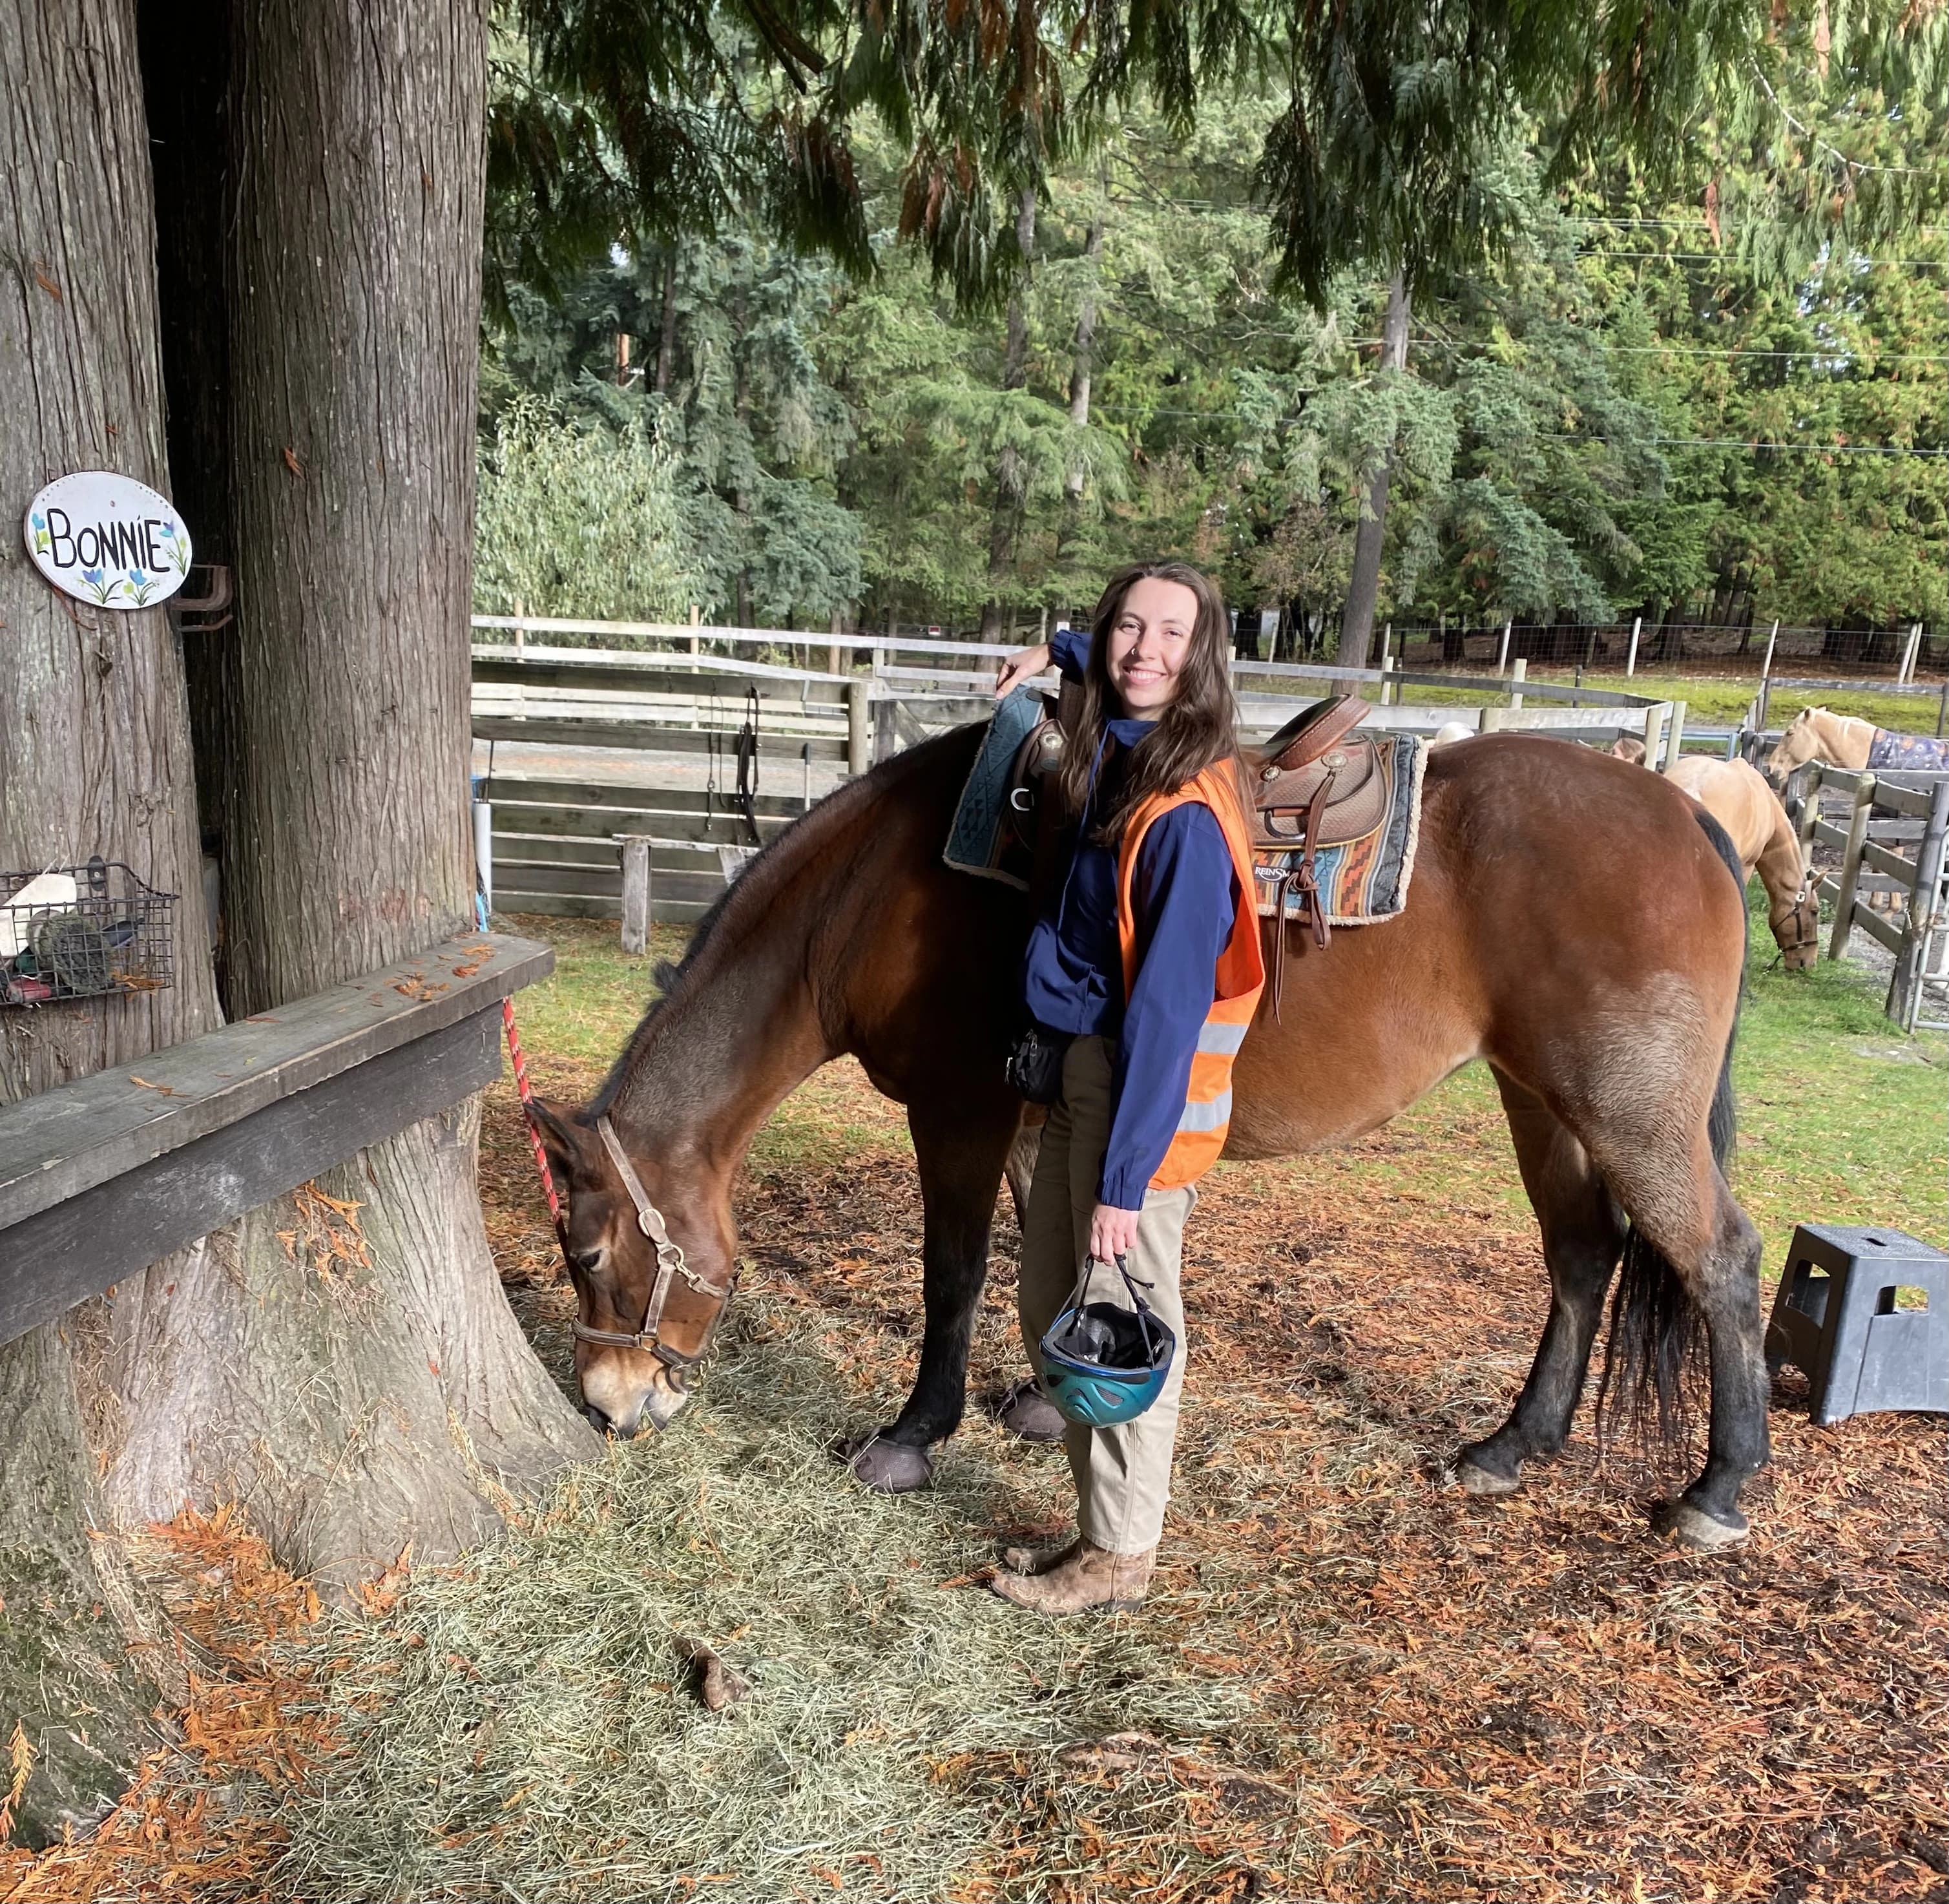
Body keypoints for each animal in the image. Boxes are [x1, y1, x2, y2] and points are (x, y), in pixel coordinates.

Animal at [526, 725, 1770, 1550]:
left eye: (585, 1254)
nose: (608, 1404)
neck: (872, 894)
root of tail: (1686, 813)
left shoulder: (960, 1111)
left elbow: (954, 1271)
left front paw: (916, 1433)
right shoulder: (1041, 1115)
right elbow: (1050, 1246)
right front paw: (1040, 1398)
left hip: (1628, 1112)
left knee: (1719, 1260)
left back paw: (1717, 1489)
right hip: (1539, 1100)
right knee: (1581, 1257)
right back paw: (1512, 1446)